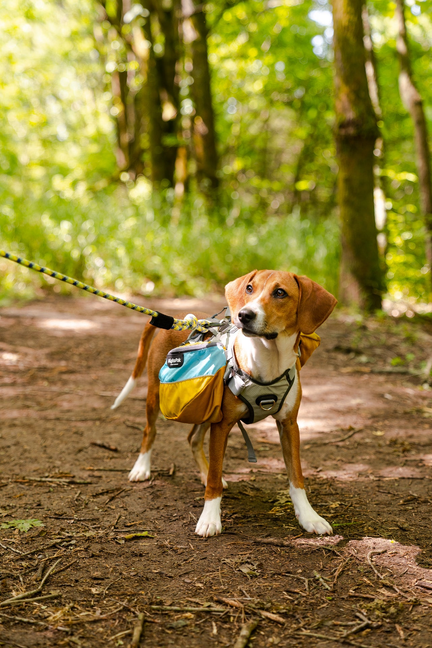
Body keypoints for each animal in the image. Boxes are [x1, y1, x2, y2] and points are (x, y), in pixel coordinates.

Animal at [112, 268, 338, 536]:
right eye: (249, 288)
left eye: (280, 292)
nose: (244, 315)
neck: (267, 360)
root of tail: (180, 320)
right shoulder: (223, 425)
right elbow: (214, 480)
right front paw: (209, 518)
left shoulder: (289, 424)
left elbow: (296, 477)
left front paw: (309, 517)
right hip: (156, 395)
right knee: (150, 430)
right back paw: (142, 468)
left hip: (208, 410)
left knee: (193, 439)